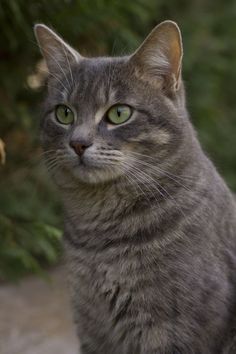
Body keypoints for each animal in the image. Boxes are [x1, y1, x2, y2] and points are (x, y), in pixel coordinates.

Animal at [34, 20, 236, 352]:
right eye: (64, 113)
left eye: (119, 113)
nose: (78, 142)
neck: (98, 242)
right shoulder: (92, 326)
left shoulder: (173, 332)